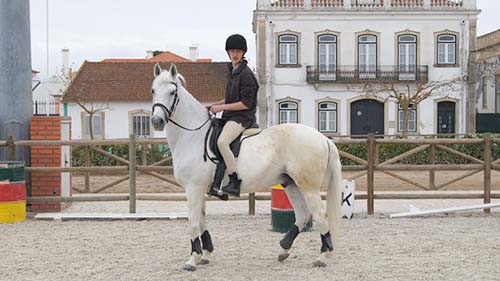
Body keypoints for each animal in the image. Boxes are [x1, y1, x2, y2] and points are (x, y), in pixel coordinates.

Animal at [150, 63, 342, 270]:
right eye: (153, 90)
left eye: (172, 92)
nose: (157, 121)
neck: (192, 136)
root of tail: (322, 138)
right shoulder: (199, 190)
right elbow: (201, 222)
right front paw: (206, 253)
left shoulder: (193, 188)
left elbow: (193, 223)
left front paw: (193, 259)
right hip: (289, 183)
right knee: (303, 215)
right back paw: (283, 250)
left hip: (308, 186)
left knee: (320, 214)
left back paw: (323, 256)